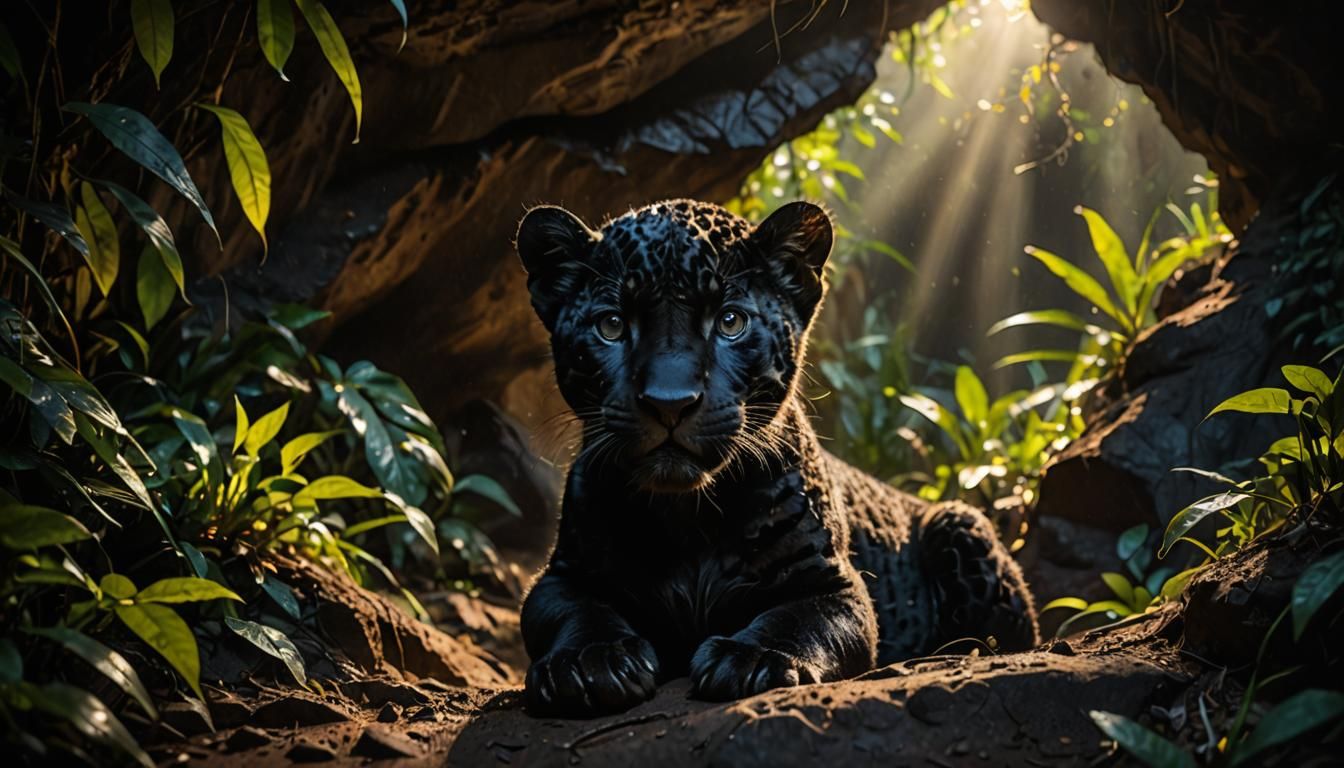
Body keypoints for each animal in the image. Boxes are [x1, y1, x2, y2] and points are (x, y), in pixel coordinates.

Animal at [514, 198, 1038, 718]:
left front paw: (752, 659)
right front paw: (590, 661)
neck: (687, 517)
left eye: (730, 322)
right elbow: (577, 612)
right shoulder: (559, 576)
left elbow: (796, 620)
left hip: (960, 521)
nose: (670, 402)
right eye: (611, 325)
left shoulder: (835, 587)